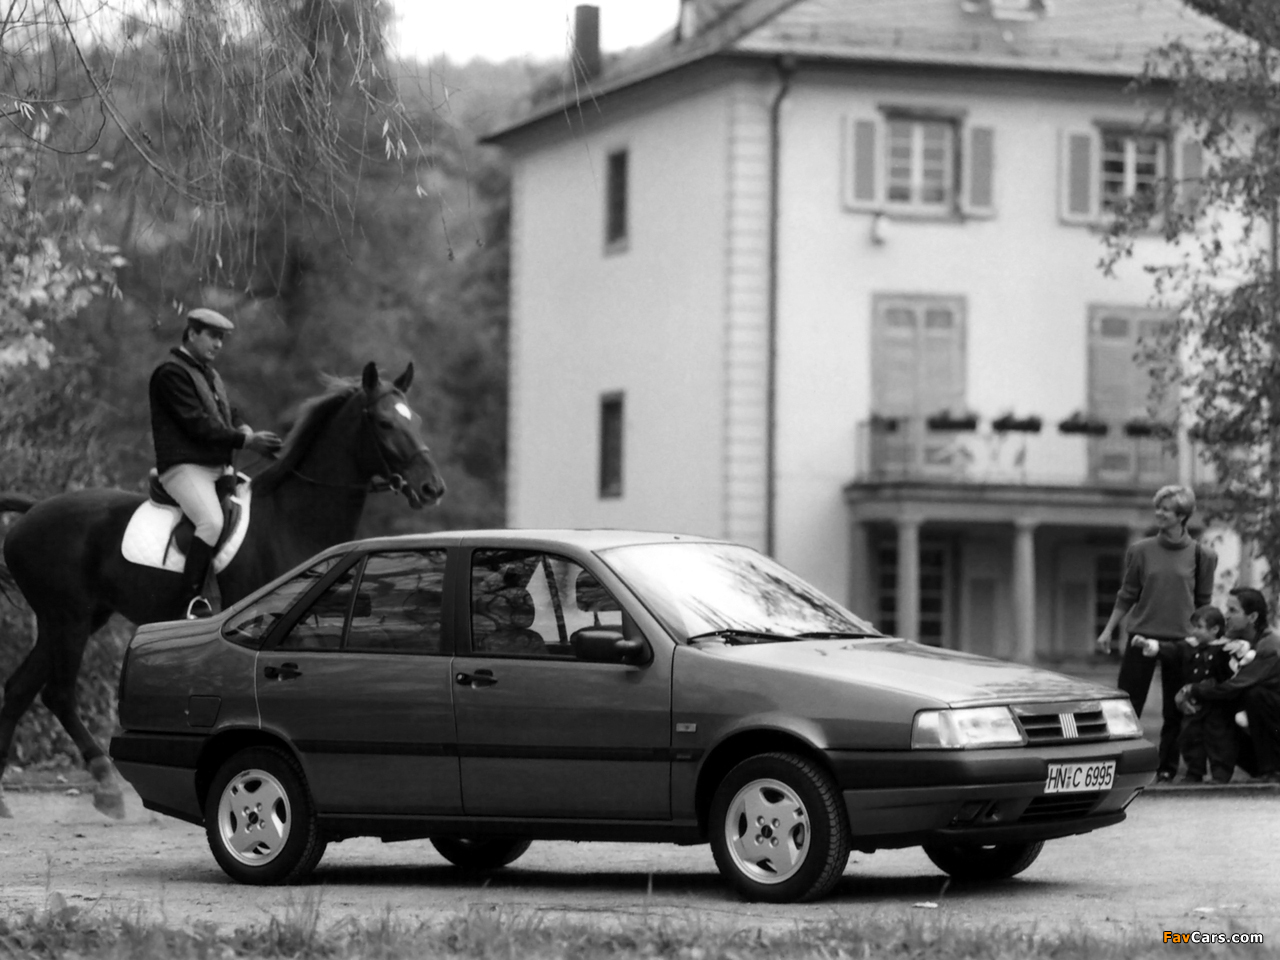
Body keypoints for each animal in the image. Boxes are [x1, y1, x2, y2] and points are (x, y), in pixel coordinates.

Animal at [0, 361, 445, 818]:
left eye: (416, 420)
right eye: (385, 422)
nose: (432, 488)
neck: (291, 519)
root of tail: (32, 511)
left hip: (73, 621)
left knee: (19, 689)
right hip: (67, 620)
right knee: (57, 693)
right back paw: (105, 782)